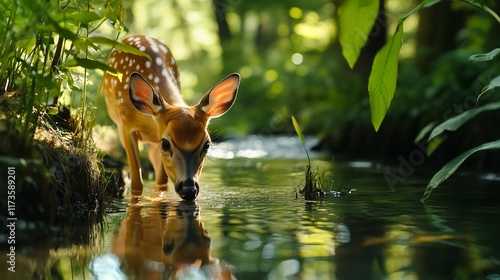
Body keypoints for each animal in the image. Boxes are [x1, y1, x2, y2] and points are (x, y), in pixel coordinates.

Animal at [102, 35, 239, 199]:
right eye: (166, 144)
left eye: (207, 144)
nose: (189, 189)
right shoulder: (125, 125)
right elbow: (137, 183)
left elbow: (162, 182)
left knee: (152, 155)